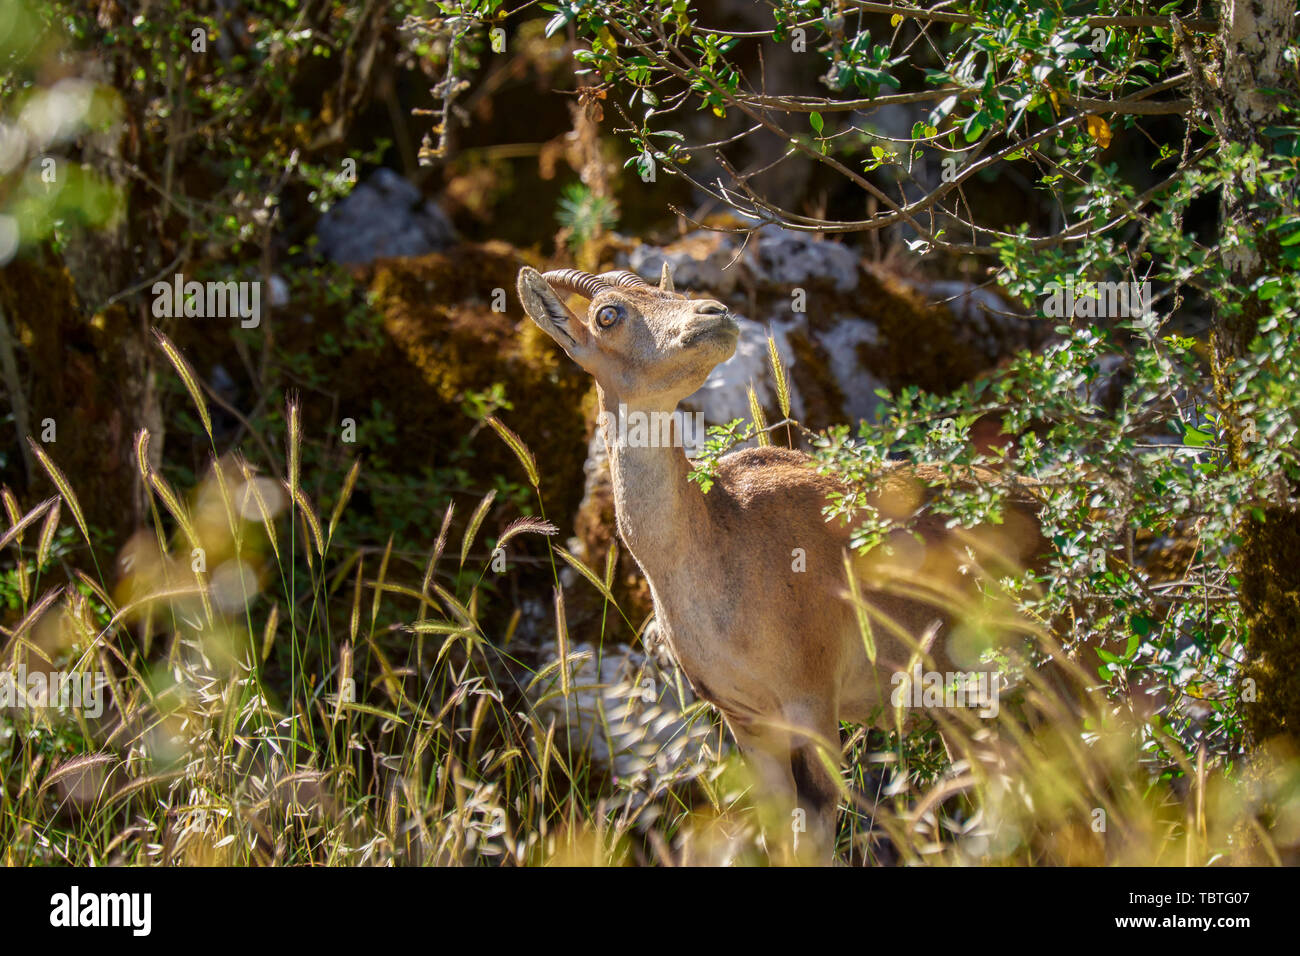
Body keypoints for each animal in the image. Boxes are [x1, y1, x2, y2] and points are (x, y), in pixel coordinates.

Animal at [517, 262, 1046, 863]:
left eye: (668, 289)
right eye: (608, 314)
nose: (714, 313)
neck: (717, 548)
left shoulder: (811, 696)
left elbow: (815, 816)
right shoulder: (746, 717)